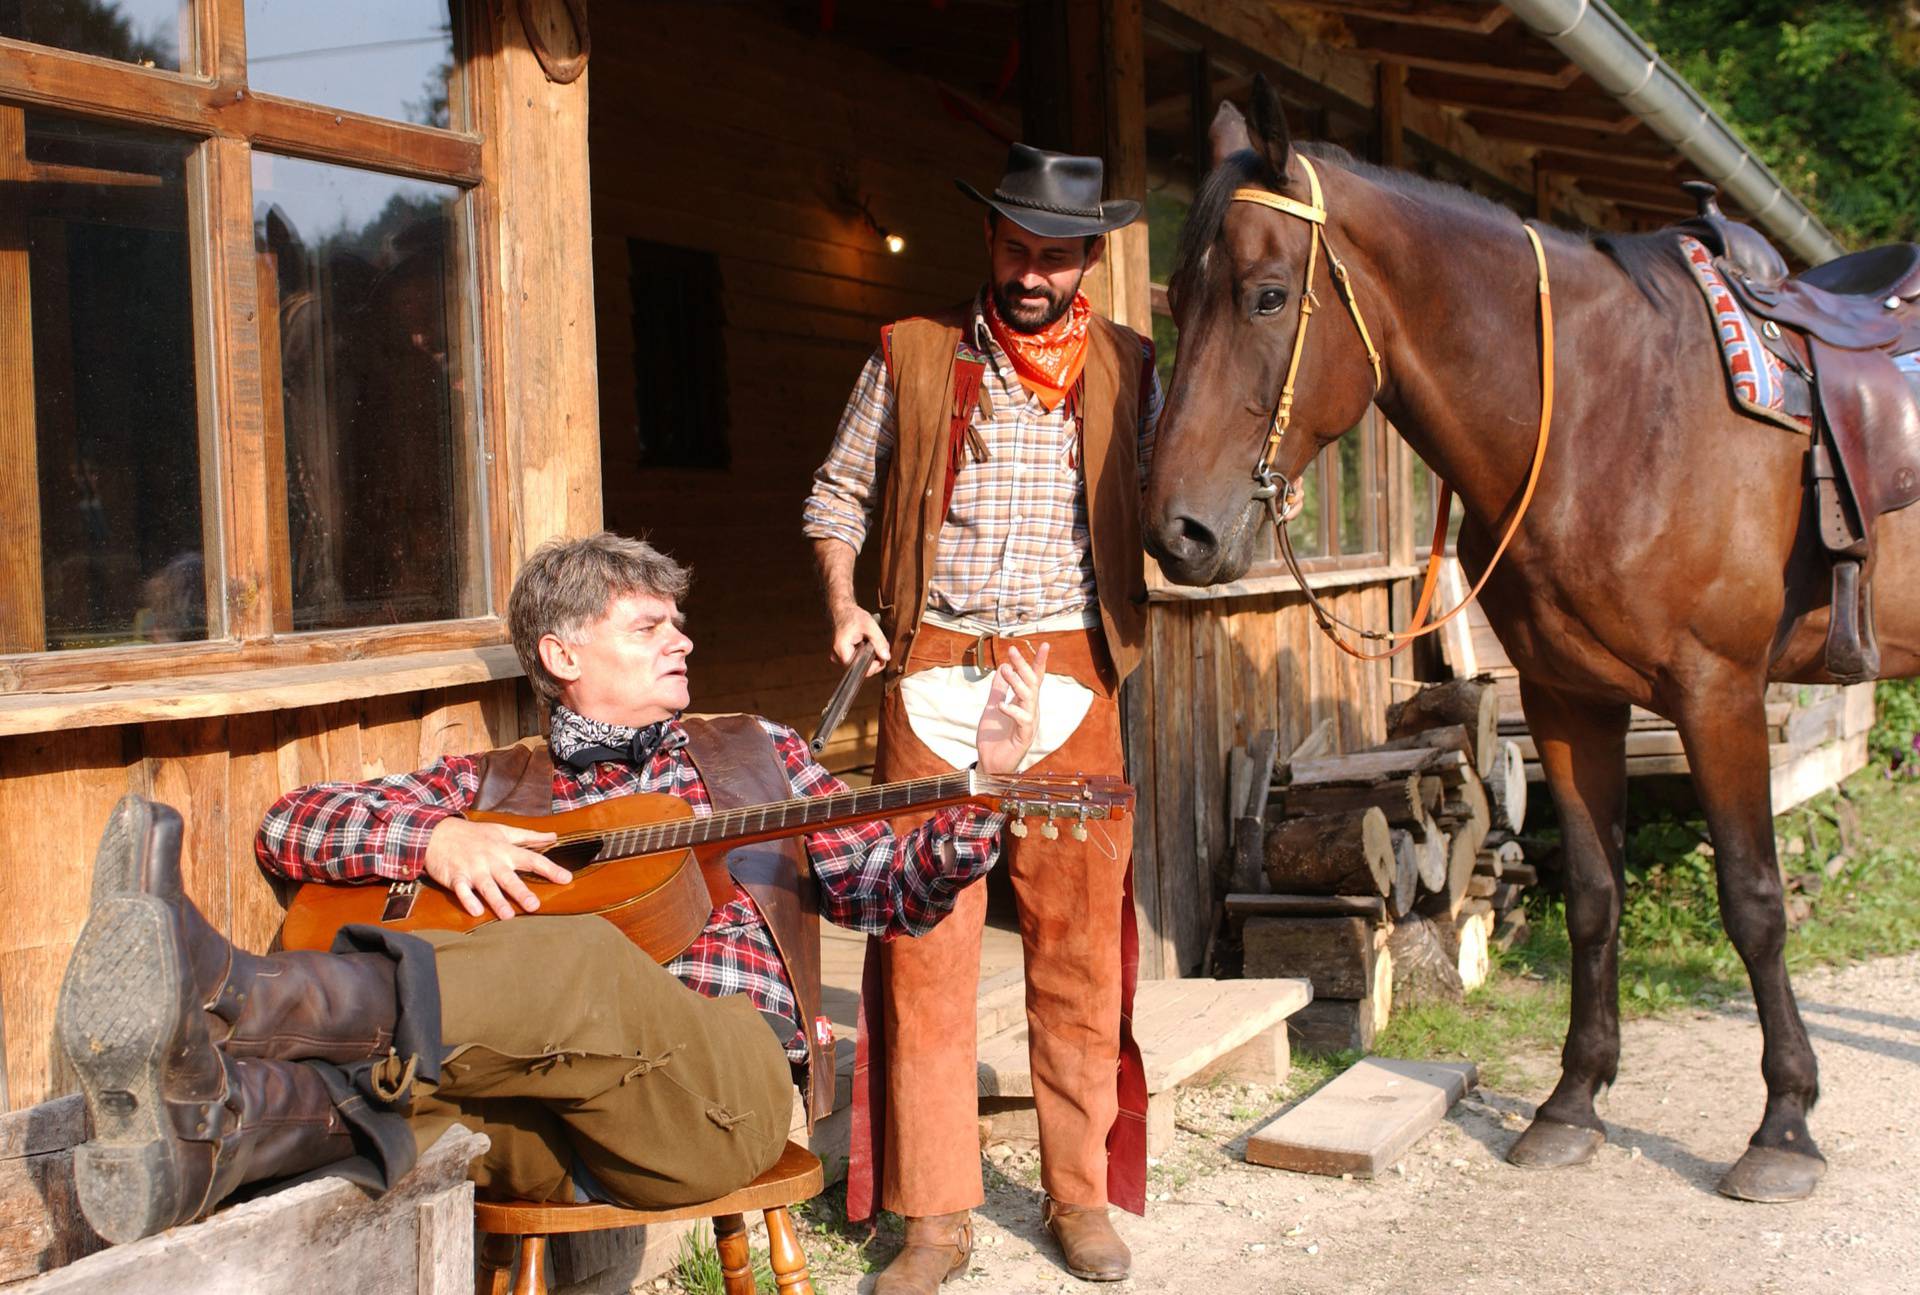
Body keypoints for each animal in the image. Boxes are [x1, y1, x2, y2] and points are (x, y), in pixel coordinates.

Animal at [1144, 83, 1920, 1198]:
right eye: (1173, 293)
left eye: (1265, 295)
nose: (1177, 532)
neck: (1611, 414)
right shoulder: (1567, 697)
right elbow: (1593, 894)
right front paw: (1571, 1102)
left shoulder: (1717, 693)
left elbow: (1754, 900)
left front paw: (1782, 1126)